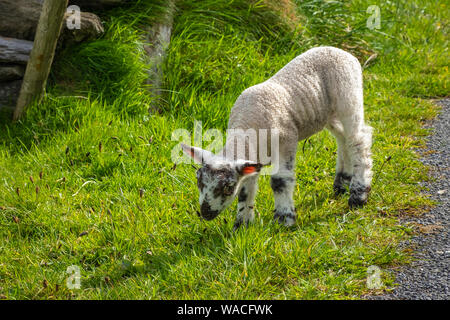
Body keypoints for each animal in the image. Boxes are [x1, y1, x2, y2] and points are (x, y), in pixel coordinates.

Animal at [179, 46, 372, 229]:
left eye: (227, 188)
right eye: (199, 182)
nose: (206, 214)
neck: (247, 124)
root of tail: (345, 53)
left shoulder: (286, 141)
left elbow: (280, 181)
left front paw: (284, 220)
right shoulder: (251, 157)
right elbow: (245, 191)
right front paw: (241, 226)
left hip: (349, 97)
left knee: (359, 140)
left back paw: (358, 195)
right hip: (328, 113)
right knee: (343, 140)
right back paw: (342, 183)